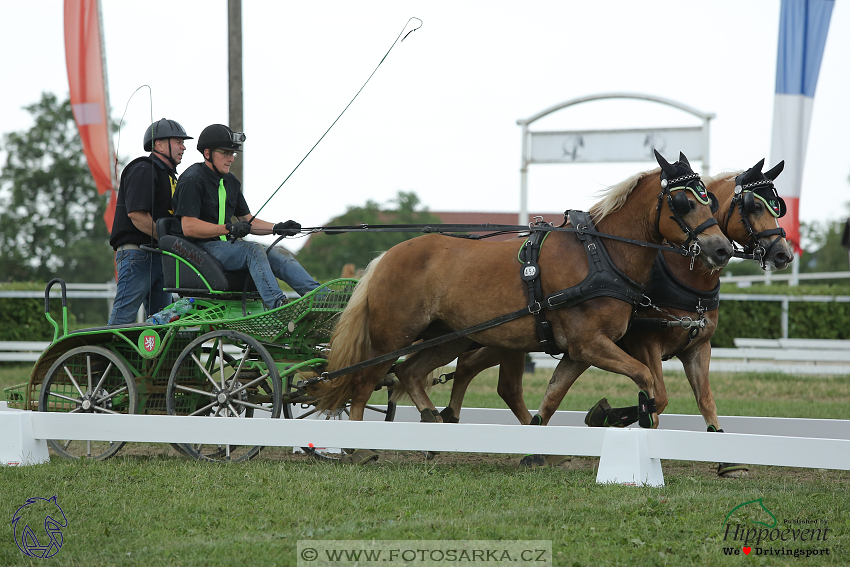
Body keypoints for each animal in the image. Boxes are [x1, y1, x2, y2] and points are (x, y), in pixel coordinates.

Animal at [312, 152, 728, 466]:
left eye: (710, 199)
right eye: (683, 202)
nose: (721, 248)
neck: (601, 255)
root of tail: (386, 256)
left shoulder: (581, 350)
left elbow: (556, 393)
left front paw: (543, 443)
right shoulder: (590, 344)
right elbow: (648, 383)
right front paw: (623, 418)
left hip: (449, 337)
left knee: (410, 374)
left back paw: (434, 423)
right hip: (392, 338)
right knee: (364, 383)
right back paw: (358, 447)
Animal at [434, 158, 792, 478]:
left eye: (778, 207)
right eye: (754, 207)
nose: (783, 254)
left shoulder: (697, 347)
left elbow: (705, 400)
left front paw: (726, 459)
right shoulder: (644, 344)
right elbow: (660, 397)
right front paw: (605, 417)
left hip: (498, 337)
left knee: (473, 370)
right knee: (484, 376)